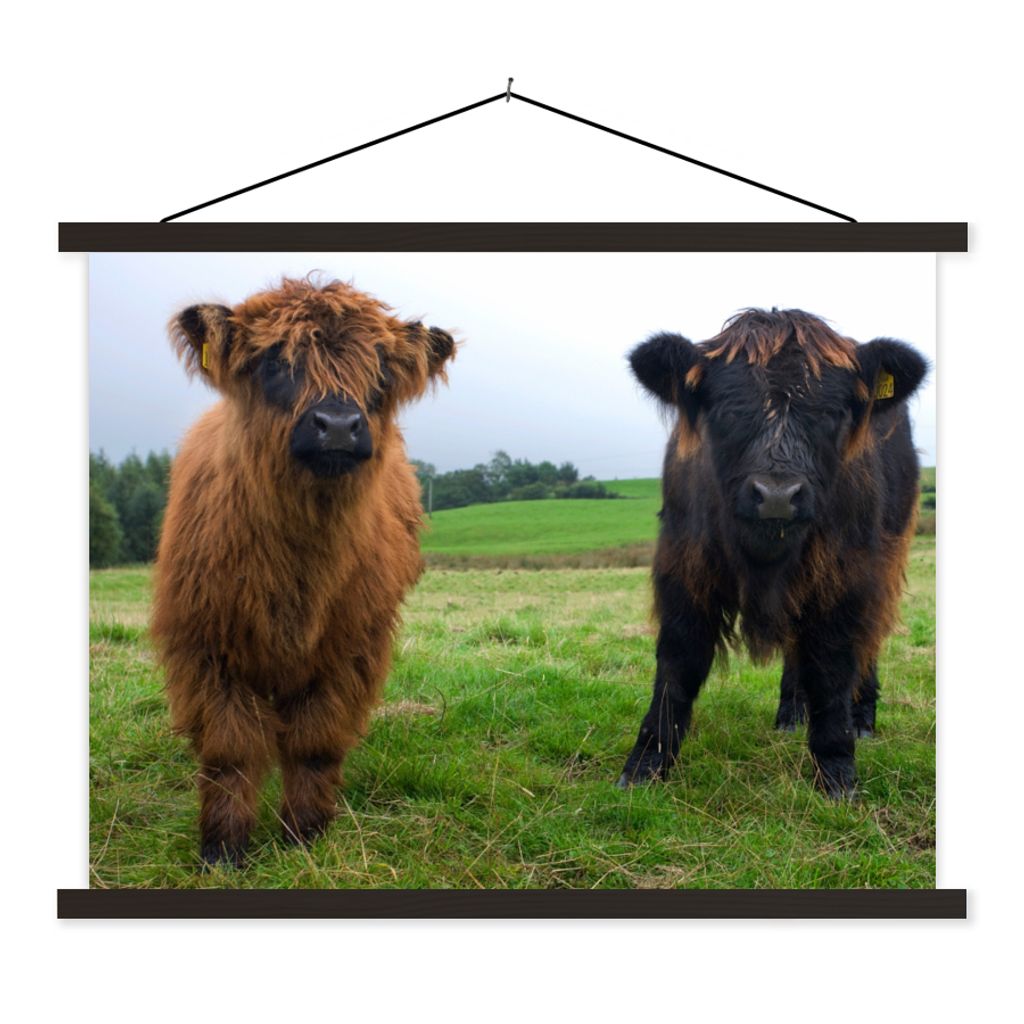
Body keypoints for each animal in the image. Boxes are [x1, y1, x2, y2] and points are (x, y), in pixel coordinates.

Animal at [152, 276, 456, 866]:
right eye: (274, 360)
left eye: (380, 369)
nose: (337, 425)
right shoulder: (205, 647)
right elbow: (229, 749)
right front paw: (223, 848)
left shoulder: (349, 649)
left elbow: (315, 742)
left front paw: (305, 834)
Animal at [618, 308, 927, 798]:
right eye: (726, 410)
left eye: (832, 413)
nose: (778, 496)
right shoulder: (684, 566)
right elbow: (678, 662)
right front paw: (646, 764)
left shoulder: (848, 576)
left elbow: (834, 665)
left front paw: (836, 771)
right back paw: (790, 713)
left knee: (869, 641)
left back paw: (862, 719)